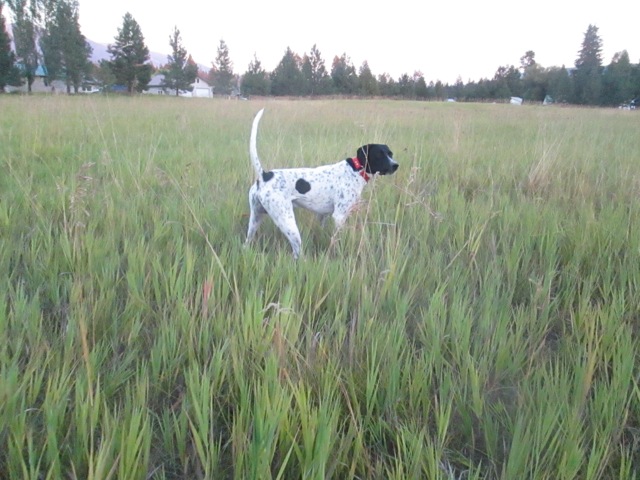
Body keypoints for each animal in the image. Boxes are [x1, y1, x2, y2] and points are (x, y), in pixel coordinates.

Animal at [246, 109, 400, 258]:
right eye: (379, 155)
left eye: (390, 154)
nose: (395, 165)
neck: (355, 170)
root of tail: (264, 176)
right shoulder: (339, 216)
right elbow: (337, 238)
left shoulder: (322, 215)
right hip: (287, 222)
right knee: (296, 253)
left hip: (255, 219)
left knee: (246, 244)